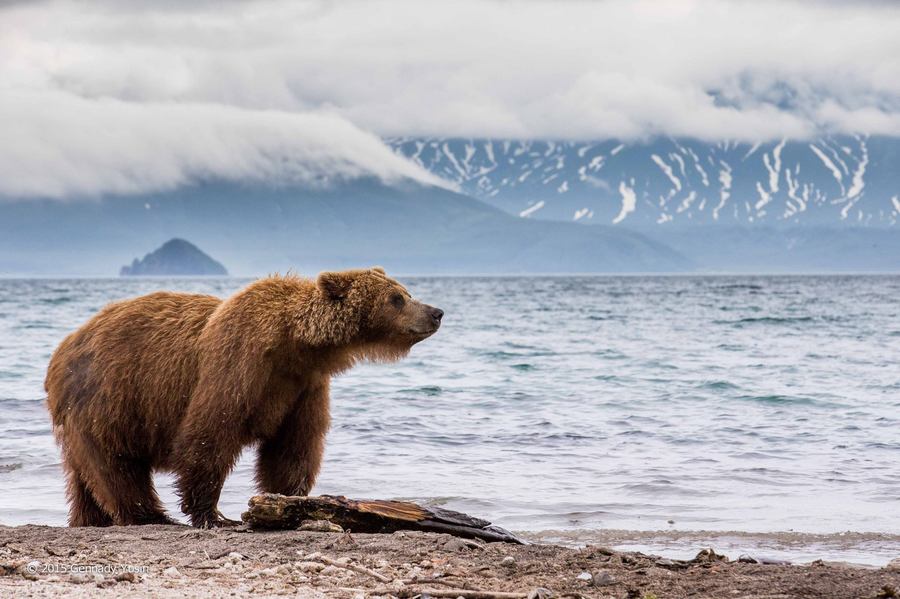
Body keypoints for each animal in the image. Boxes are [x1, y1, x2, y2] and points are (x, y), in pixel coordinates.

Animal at [44, 270, 444, 528]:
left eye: (406, 291)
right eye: (397, 298)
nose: (436, 312)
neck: (295, 344)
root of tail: (61, 351)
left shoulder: (303, 387)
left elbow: (294, 447)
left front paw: (292, 500)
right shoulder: (239, 365)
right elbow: (210, 434)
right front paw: (213, 514)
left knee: (85, 476)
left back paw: (89, 519)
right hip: (110, 397)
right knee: (118, 465)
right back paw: (150, 515)